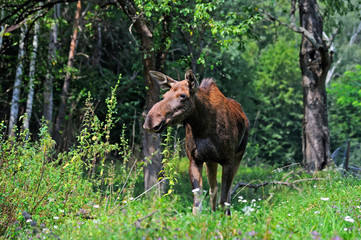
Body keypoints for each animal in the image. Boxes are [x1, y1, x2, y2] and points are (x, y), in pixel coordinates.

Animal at [143, 68, 248, 215]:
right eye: (164, 95)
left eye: (183, 96)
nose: (150, 121)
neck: (203, 127)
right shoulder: (195, 159)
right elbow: (197, 203)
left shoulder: (228, 161)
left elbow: (223, 200)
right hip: (211, 161)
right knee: (213, 188)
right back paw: (213, 214)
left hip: (238, 155)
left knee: (226, 194)